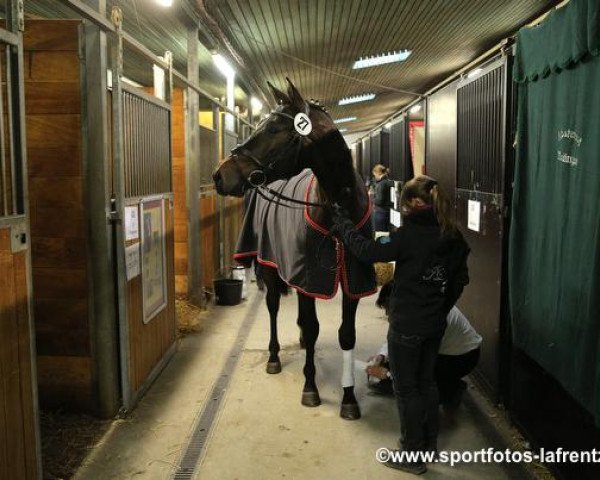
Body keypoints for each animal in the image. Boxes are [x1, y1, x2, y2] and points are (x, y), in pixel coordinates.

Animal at [213, 79, 376, 420]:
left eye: (274, 128)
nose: (220, 175)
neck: (337, 206)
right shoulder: (308, 279)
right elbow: (313, 328)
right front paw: (310, 388)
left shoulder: (351, 282)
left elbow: (346, 334)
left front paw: (349, 399)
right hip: (271, 267)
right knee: (273, 307)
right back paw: (274, 358)